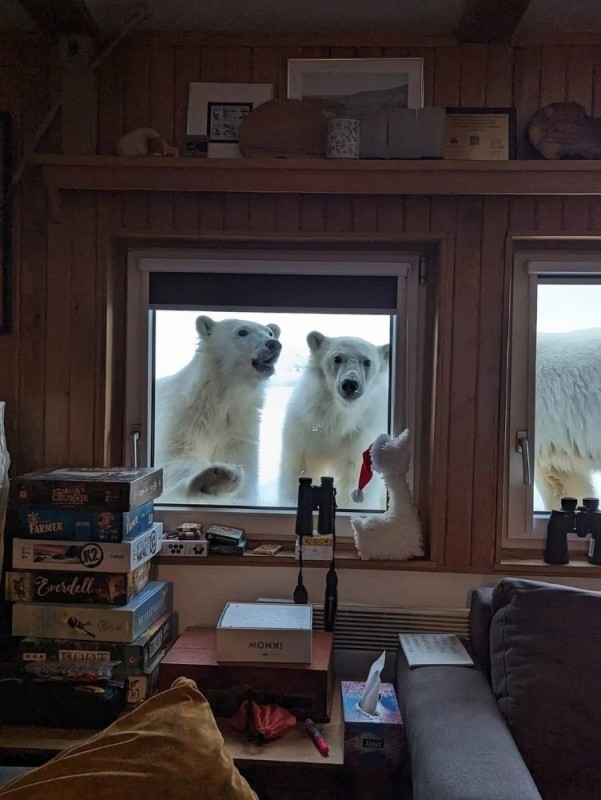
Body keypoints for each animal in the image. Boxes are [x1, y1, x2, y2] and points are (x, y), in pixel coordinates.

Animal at [152, 316, 278, 504]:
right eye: (242, 331)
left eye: (270, 332)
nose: (274, 344)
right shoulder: (181, 418)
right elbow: (173, 457)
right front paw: (218, 477)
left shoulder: (238, 429)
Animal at [278, 330, 386, 506]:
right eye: (337, 358)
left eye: (367, 361)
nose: (350, 384)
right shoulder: (305, 427)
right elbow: (299, 470)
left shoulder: (360, 438)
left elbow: (354, 478)